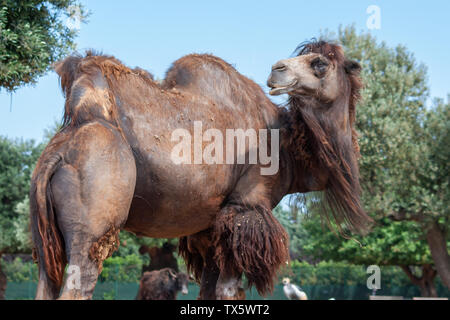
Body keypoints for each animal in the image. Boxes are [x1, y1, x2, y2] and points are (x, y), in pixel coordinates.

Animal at [30, 40, 370, 300]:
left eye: (320, 62)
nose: (277, 70)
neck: (285, 141)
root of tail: (62, 147)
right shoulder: (244, 207)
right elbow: (229, 290)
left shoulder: (209, 228)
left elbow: (208, 289)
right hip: (94, 228)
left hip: (45, 235)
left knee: (46, 281)